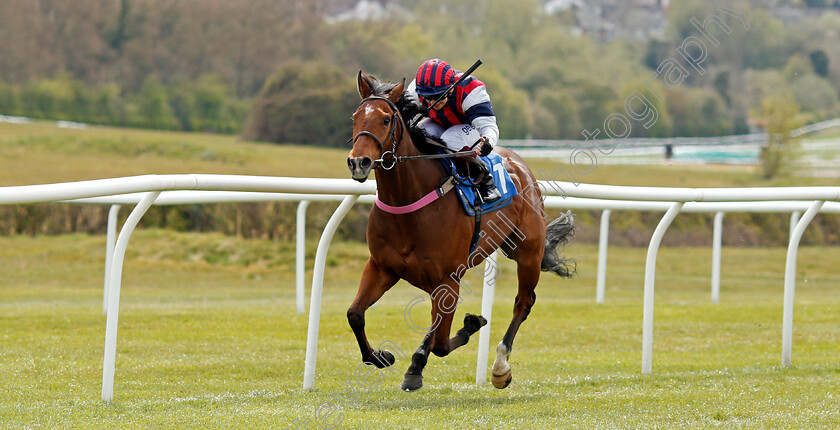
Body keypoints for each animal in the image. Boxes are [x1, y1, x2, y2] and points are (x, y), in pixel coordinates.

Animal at [344, 72, 576, 392]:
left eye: (386, 119)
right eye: (355, 117)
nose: (359, 162)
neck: (408, 202)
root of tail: (520, 163)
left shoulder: (447, 281)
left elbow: (439, 341)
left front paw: (416, 366)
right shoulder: (382, 267)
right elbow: (355, 314)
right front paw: (380, 356)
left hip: (528, 252)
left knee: (523, 302)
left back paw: (500, 366)